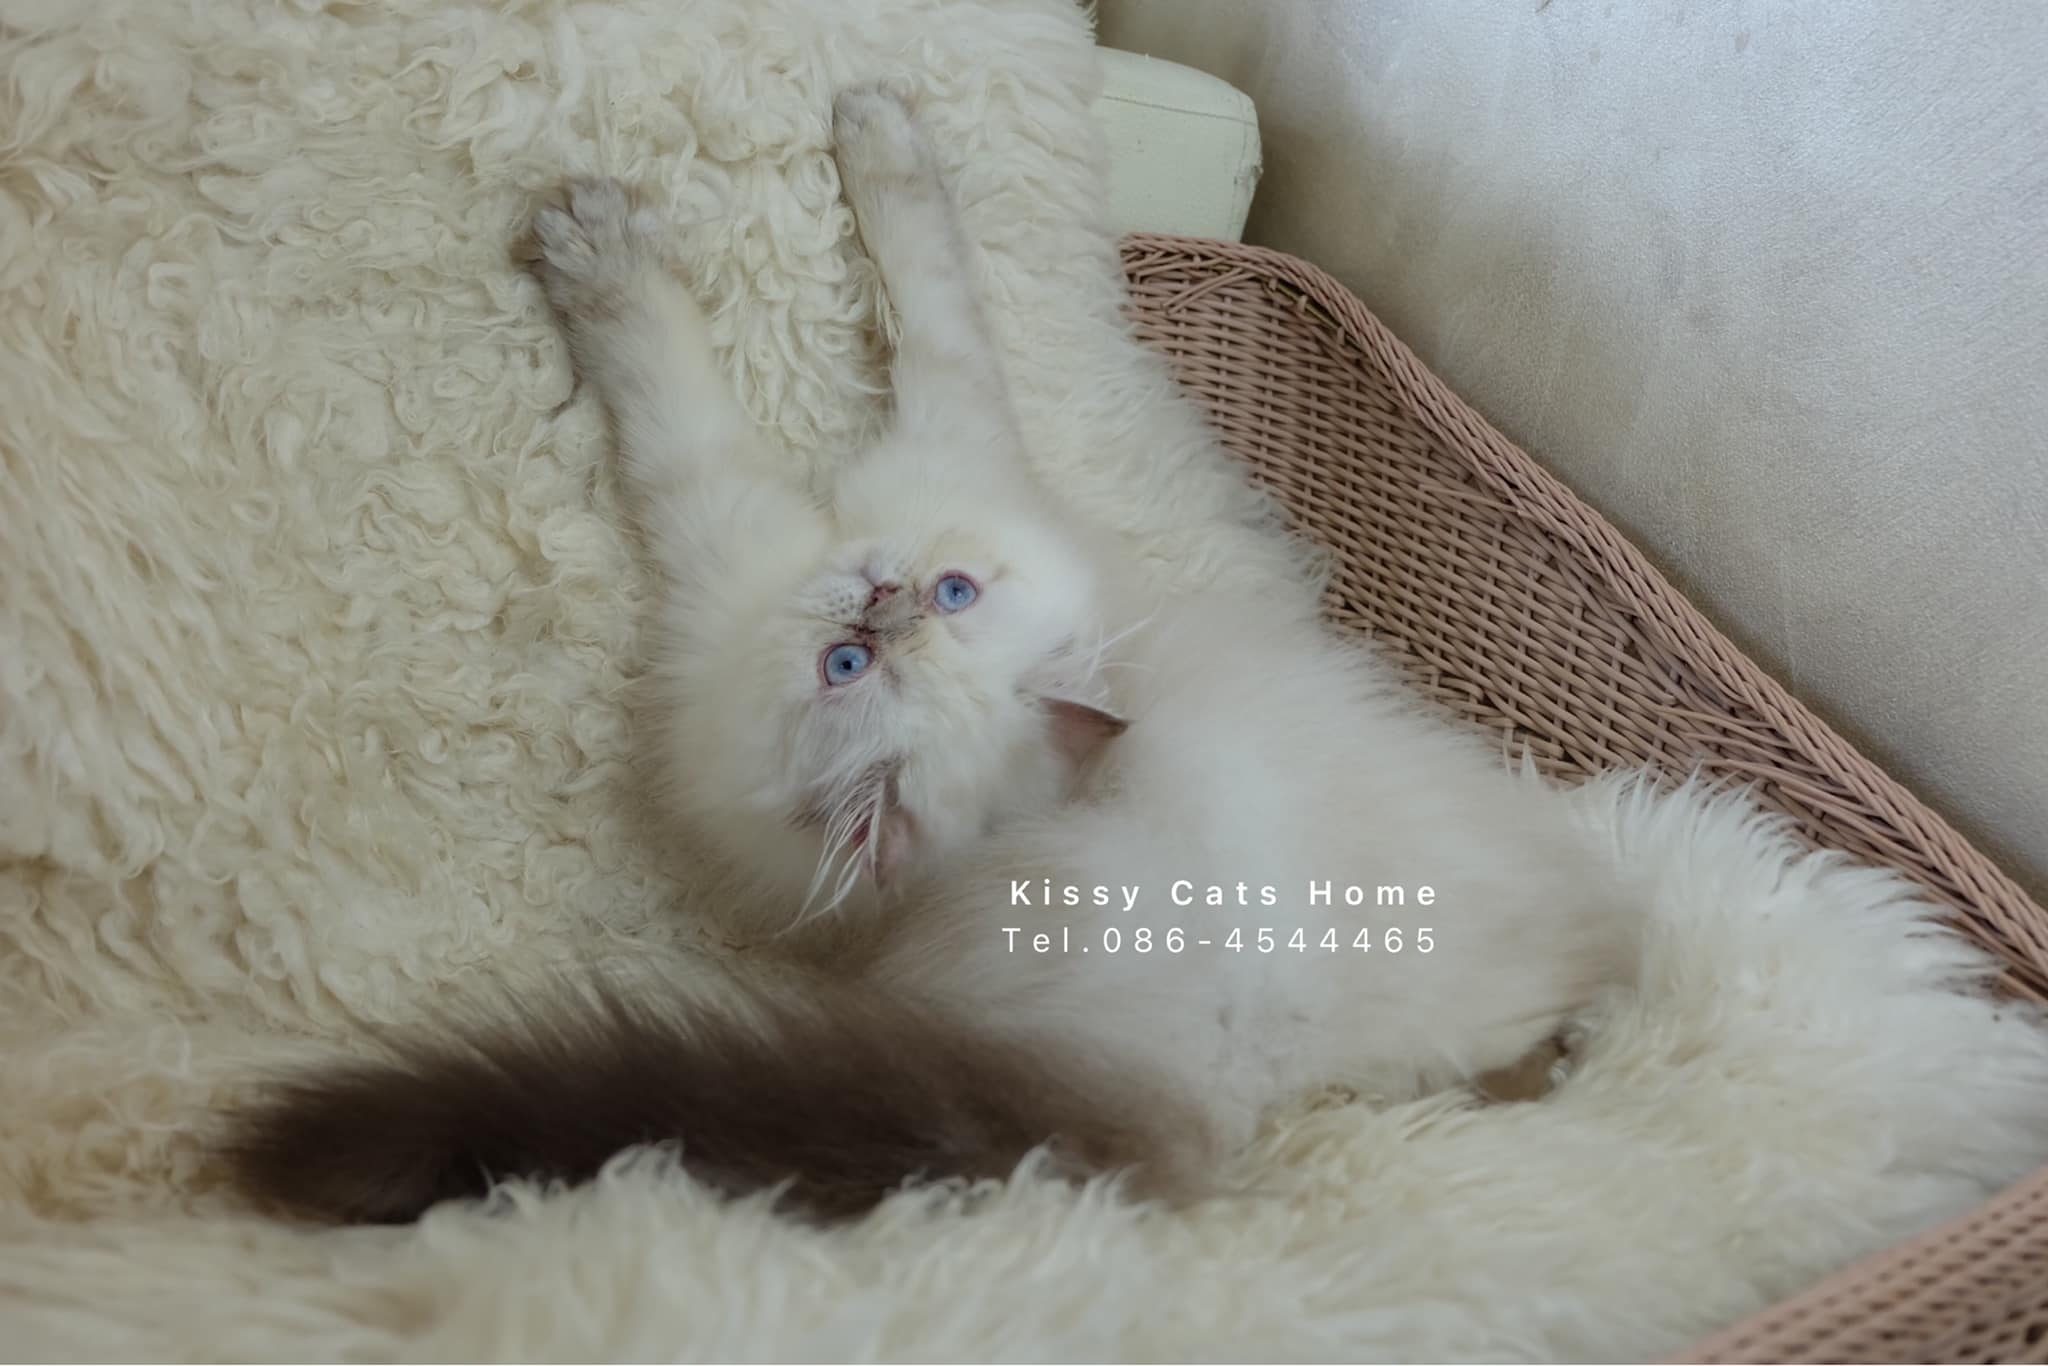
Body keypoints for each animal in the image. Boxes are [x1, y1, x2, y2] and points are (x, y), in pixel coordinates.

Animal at [220, 86, 1640, 1226]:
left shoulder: (751, 529)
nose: (879, 593)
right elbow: (910, 254)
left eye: (860, 660)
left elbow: (777, 346)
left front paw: (622, 228)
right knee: (1528, 1055)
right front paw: (871, 119)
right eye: (924, 611)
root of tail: (1225, 1082)